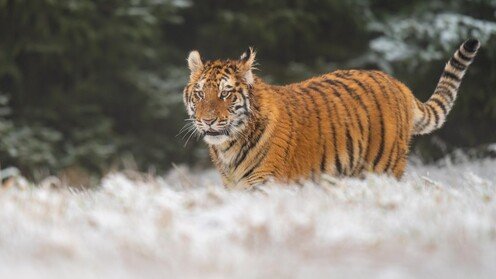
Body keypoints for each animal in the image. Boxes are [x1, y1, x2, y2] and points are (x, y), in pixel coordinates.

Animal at [182, 38, 480, 189]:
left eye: (225, 94)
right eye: (200, 94)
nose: (207, 120)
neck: (228, 147)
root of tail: (399, 85)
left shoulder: (264, 185)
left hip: (382, 169)